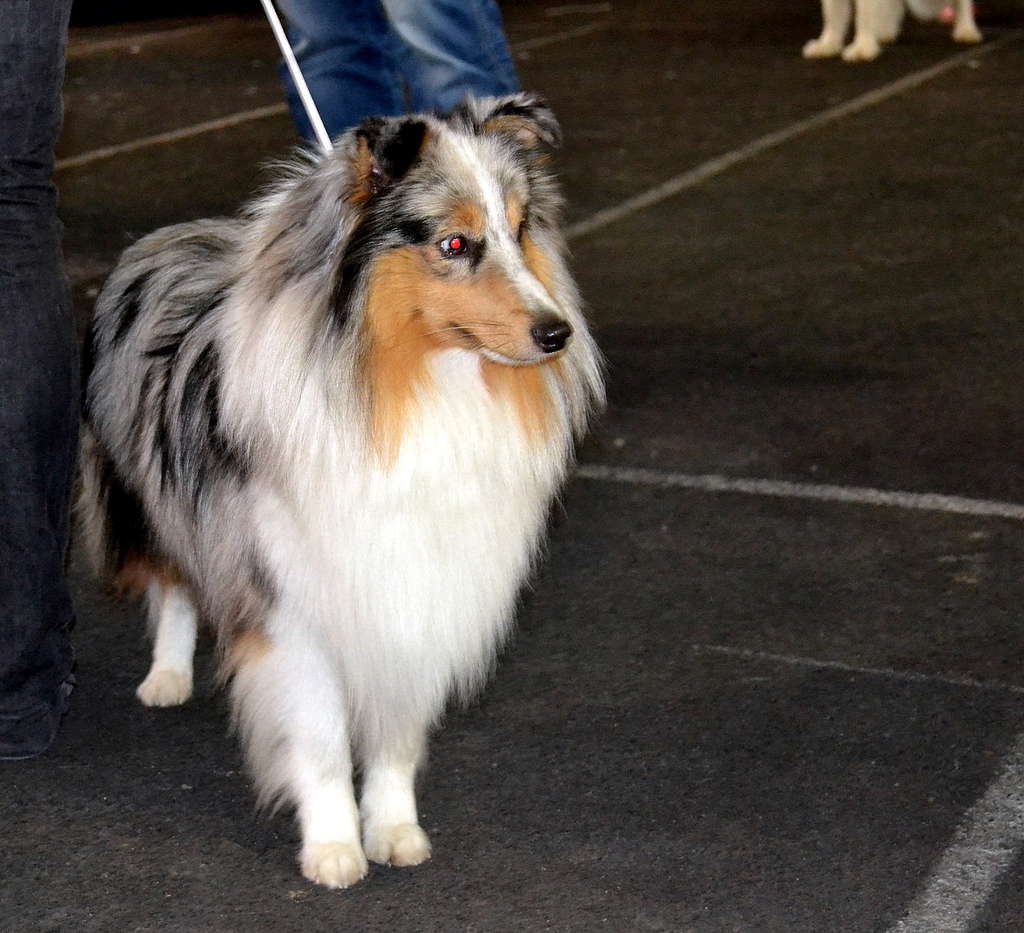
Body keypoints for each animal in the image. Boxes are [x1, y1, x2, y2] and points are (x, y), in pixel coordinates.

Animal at [86, 94, 606, 888]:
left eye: (520, 231)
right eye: (455, 244)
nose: (558, 333)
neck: (416, 384)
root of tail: (167, 235)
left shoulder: (418, 595)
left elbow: (395, 735)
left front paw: (392, 829)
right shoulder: (297, 600)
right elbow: (322, 740)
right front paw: (333, 848)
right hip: (152, 492)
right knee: (174, 582)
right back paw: (167, 675)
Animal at [802, 0, 978, 61]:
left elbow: (863, 14)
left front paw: (863, 47)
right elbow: (832, 12)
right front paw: (828, 45)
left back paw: (966, 29)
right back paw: (886, 30)